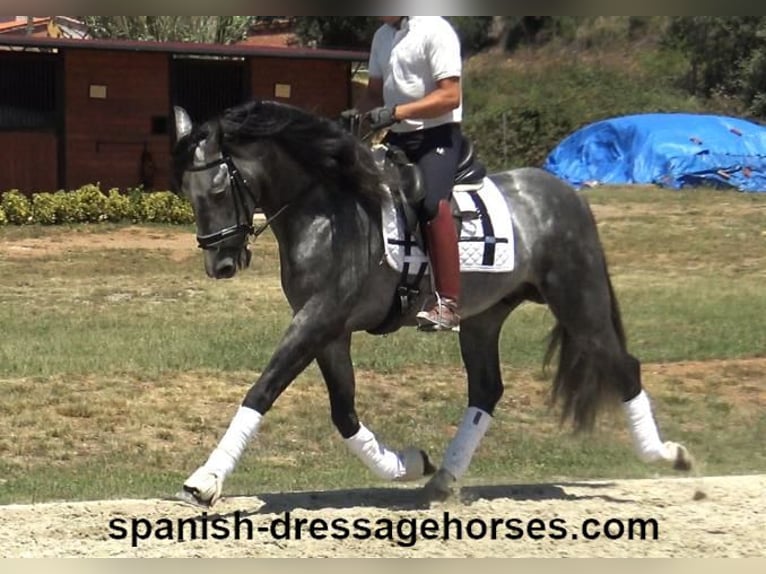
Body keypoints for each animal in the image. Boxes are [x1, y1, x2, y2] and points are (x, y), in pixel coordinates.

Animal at [171, 100, 692, 508]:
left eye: (217, 189)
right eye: (187, 193)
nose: (220, 264)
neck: (327, 210)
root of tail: (565, 193)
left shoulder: (319, 318)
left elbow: (263, 390)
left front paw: (206, 480)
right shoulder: (328, 330)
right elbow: (344, 414)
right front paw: (407, 463)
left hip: (578, 303)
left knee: (624, 367)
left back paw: (669, 455)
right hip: (484, 318)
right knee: (486, 389)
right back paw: (442, 479)